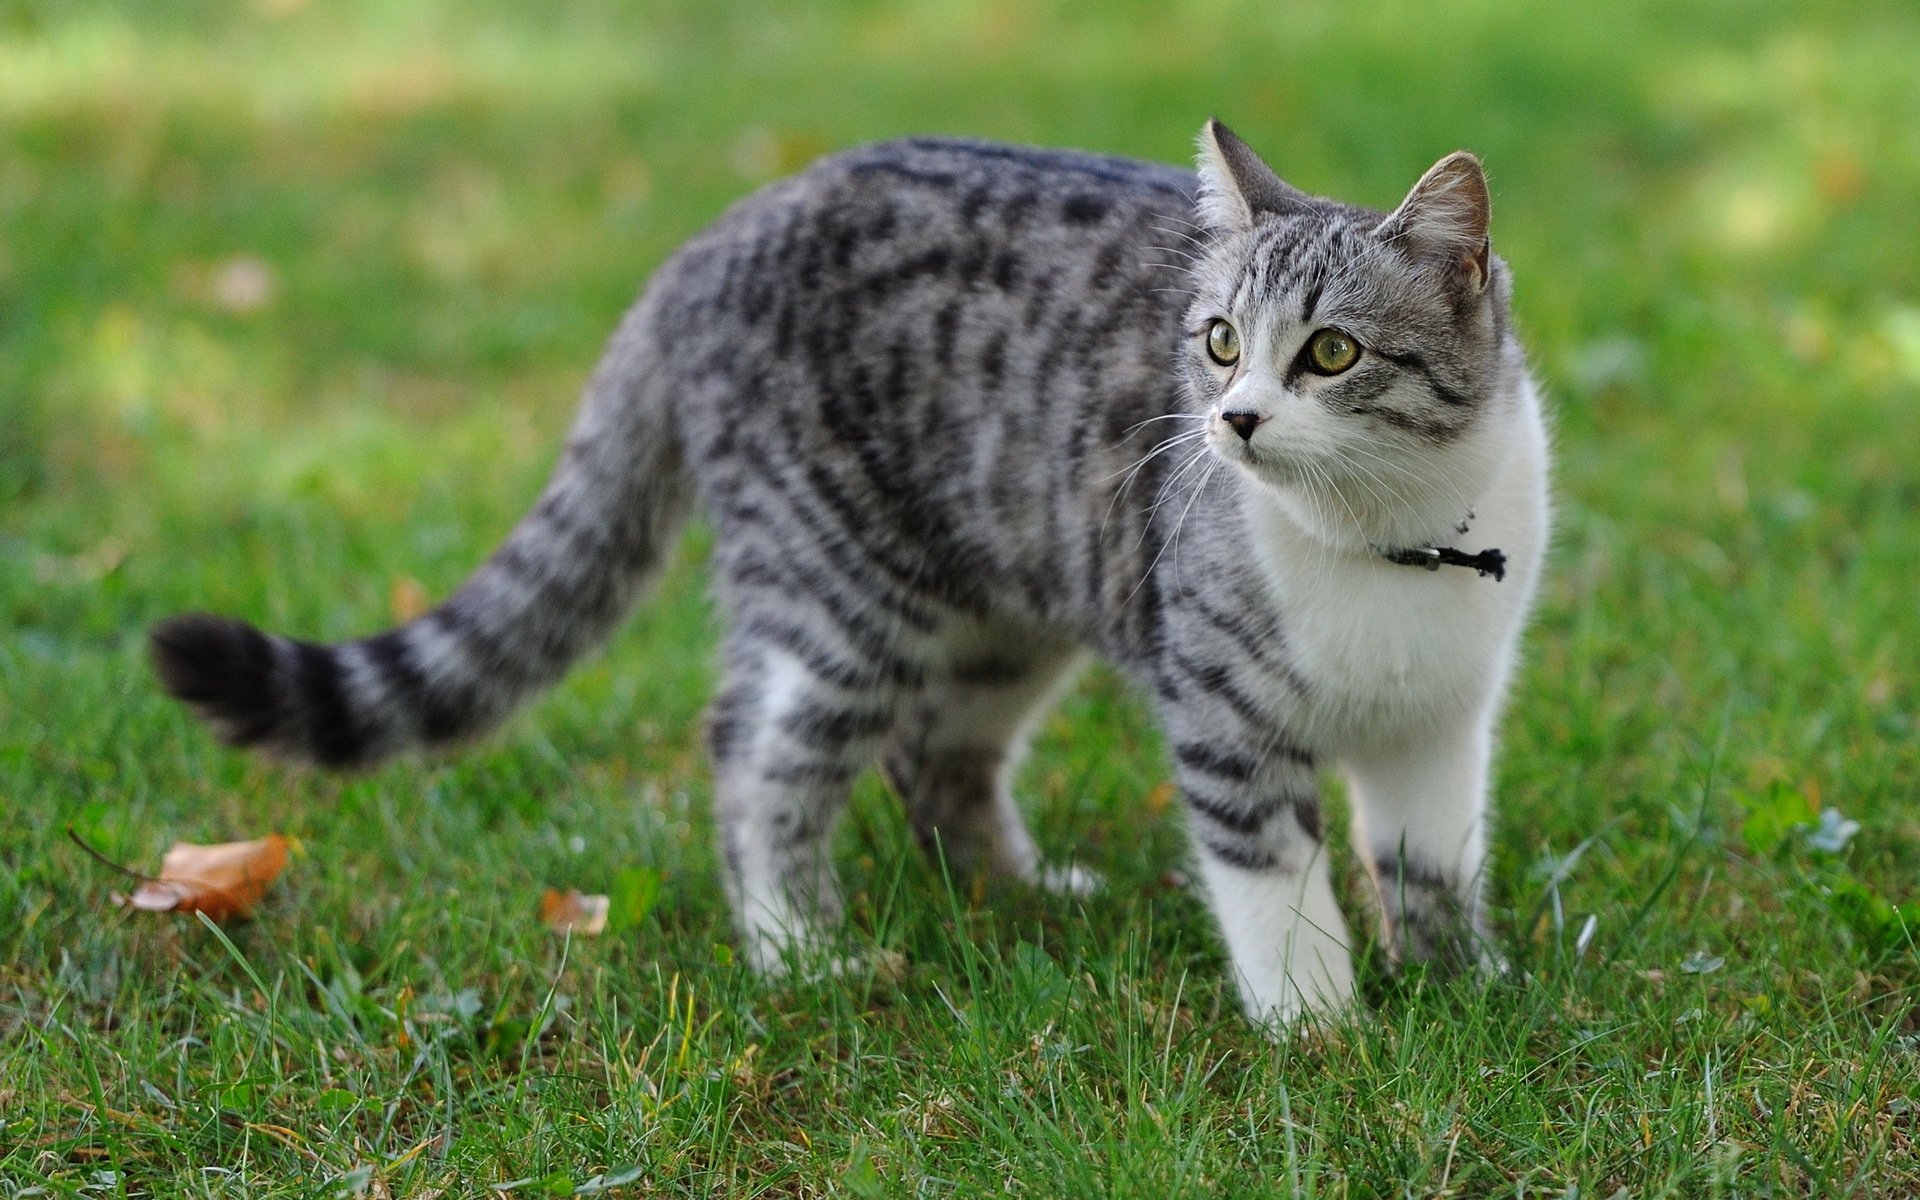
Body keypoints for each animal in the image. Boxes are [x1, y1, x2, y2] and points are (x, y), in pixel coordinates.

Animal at [157, 119, 1551, 1021]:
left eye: (1329, 353)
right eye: (1216, 343)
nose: (1235, 421)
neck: (1385, 540)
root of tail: (721, 230)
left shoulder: (1444, 721)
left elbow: (1430, 861)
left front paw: (1459, 989)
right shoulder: (1221, 712)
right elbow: (1273, 878)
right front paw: (1320, 1025)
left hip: (993, 607)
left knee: (935, 753)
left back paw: (1019, 893)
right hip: (835, 585)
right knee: (756, 748)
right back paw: (797, 953)